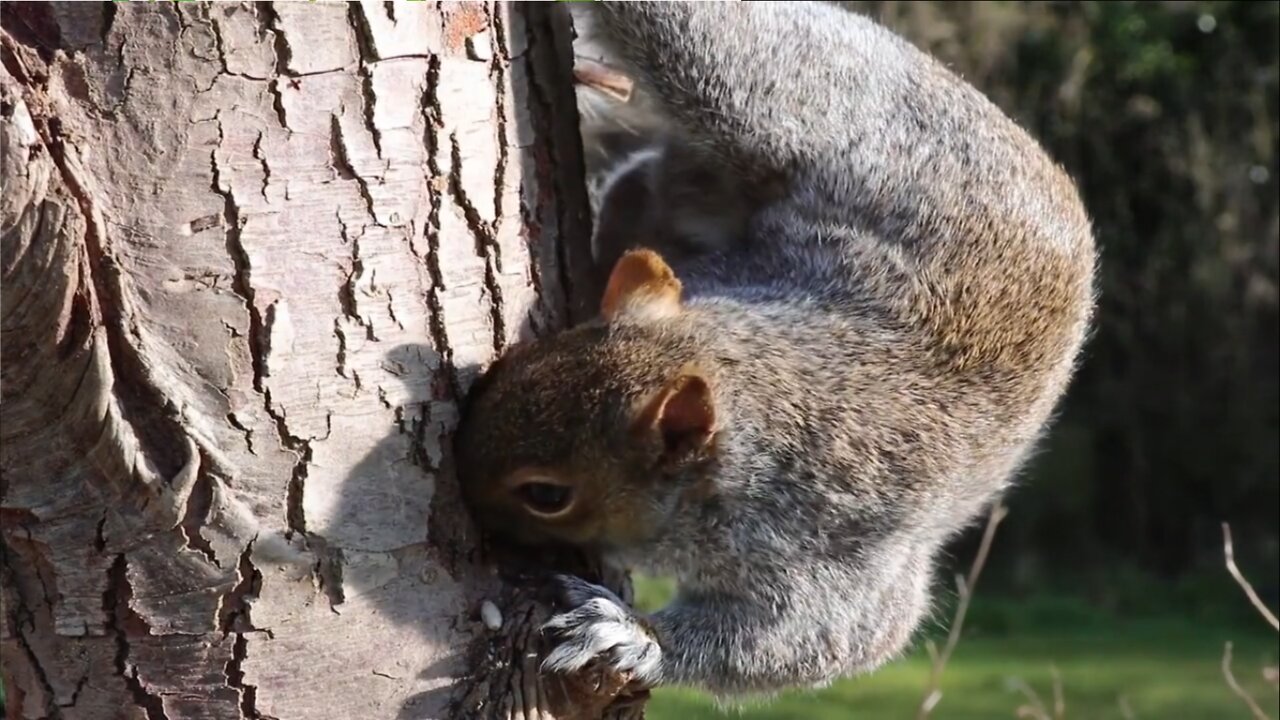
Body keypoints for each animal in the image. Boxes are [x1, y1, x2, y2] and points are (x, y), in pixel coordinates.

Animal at [454, 1, 1097, 699]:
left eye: (547, 495)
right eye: (520, 362)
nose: (458, 491)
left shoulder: (825, 552)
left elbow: (814, 641)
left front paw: (630, 635)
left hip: (771, 100)